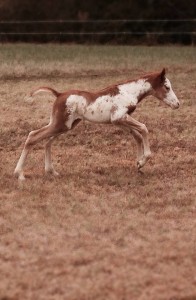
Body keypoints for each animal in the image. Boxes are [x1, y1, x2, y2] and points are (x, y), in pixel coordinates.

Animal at [14, 68, 179, 180]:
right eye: (167, 87)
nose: (177, 104)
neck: (128, 92)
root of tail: (59, 94)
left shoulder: (118, 121)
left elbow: (137, 136)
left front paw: (139, 164)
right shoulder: (120, 117)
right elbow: (144, 129)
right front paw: (144, 160)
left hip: (66, 125)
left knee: (47, 141)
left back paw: (51, 171)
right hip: (60, 125)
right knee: (33, 136)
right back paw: (20, 174)